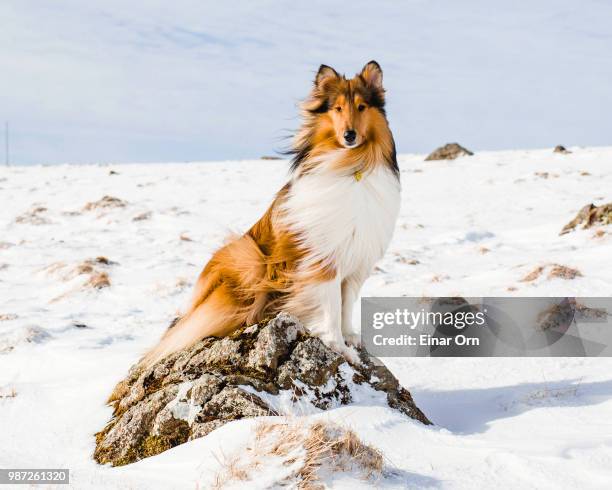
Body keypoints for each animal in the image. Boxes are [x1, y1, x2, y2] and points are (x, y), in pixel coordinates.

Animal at [143, 60, 402, 368]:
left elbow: (347, 305)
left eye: (362, 107)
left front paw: (351, 338)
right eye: (337, 108)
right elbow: (331, 310)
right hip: (247, 255)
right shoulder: (323, 261)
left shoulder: (356, 259)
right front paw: (340, 347)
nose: (349, 135)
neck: (351, 167)